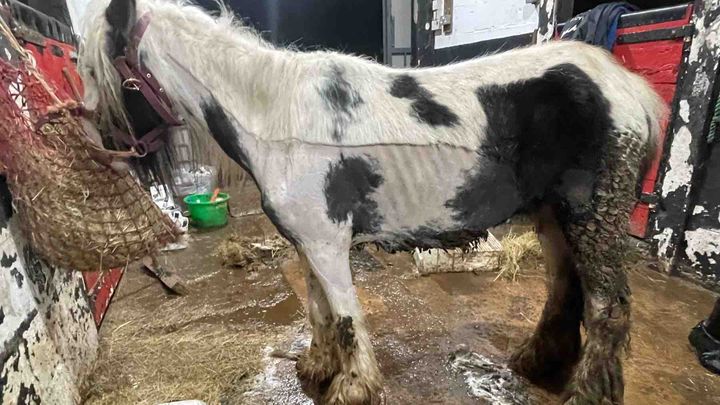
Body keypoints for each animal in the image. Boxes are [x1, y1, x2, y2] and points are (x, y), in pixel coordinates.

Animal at [79, 0, 666, 403]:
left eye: (96, 69)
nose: (100, 151)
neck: (273, 120)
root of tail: (627, 89)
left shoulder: (327, 243)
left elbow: (344, 317)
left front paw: (352, 386)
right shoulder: (308, 244)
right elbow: (318, 311)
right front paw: (317, 368)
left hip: (591, 218)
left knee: (607, 308)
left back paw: (584, 393)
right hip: (553, 218)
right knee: (564, 292)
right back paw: (537, 364)